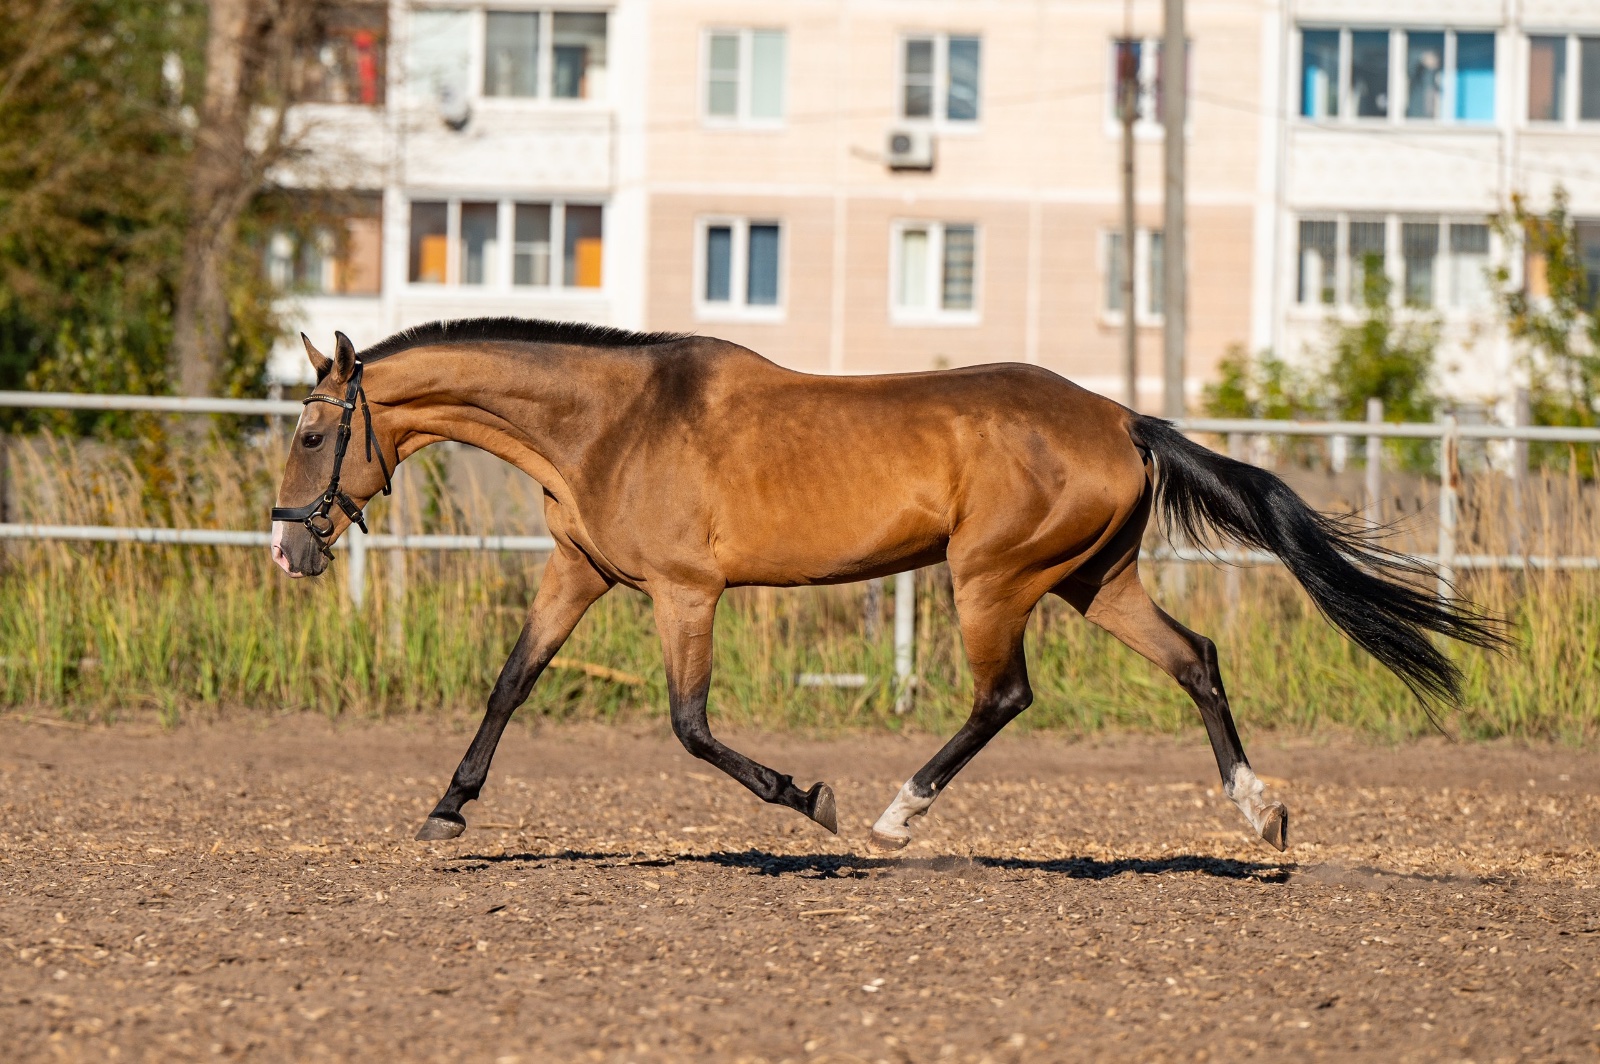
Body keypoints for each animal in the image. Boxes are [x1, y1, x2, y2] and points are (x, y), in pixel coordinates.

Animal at [270, 318, 1504, 853]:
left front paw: (806, 796)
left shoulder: (684, 591)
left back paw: (889, 815)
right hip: (1092, 582)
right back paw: (1263, 813)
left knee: (1004, 695)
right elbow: (510, 683)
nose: (288, 550)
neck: (609, 422)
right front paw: (445, 808)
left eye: (314, 432)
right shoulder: (584, 573)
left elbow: (689, 724)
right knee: (1195, 659)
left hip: (992, 577)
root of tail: (1123, 419)